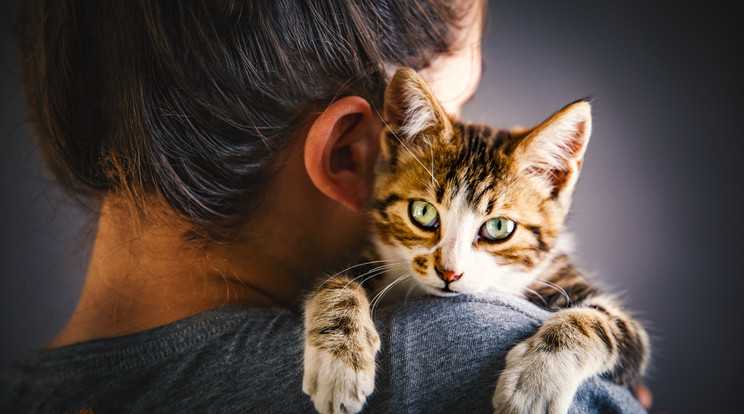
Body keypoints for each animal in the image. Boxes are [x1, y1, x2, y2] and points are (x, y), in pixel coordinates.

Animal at [302, 68, 652, 414]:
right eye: (423, 212)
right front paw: (339, 361)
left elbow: (604, 323)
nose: (449, 273)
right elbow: (339, 280)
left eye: (498, 227)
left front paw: (536, 381)